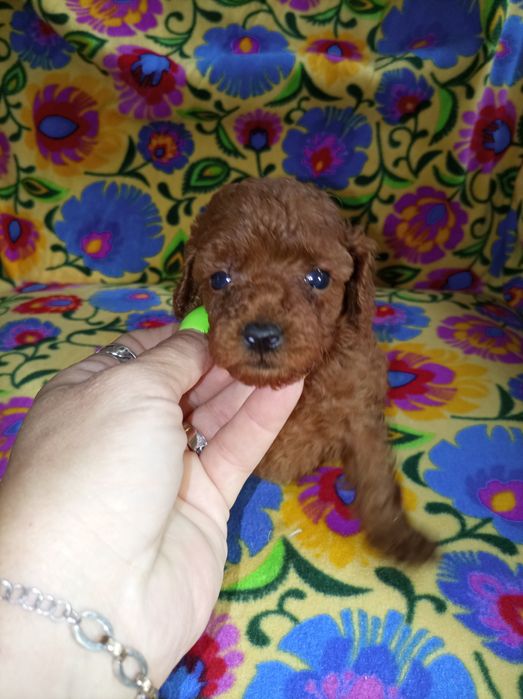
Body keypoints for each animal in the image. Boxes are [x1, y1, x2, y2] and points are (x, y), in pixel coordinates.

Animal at [174, 177, 435, 563]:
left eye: (318, 277)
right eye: (220, 279)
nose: (262, 335)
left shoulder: (361, 415)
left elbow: (376, 479)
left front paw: (398, 538)